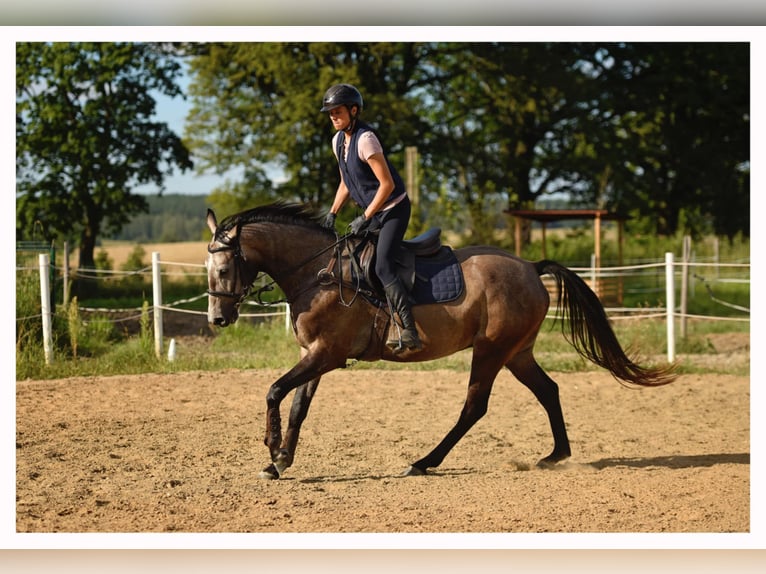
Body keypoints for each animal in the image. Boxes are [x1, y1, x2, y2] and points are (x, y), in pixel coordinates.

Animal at [205, 202, 676, 480]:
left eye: (224, 270)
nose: (217, 319)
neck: (319, 272)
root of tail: (529, 267)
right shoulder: (314, 354)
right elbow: (298, 406)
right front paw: (281, 460)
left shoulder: (327, 354)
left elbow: (274, 391)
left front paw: (272, 450)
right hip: (517, 352)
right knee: (548, 390)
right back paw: (555, 455)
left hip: (491, 350)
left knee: (474, 406)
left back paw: (424, 462)